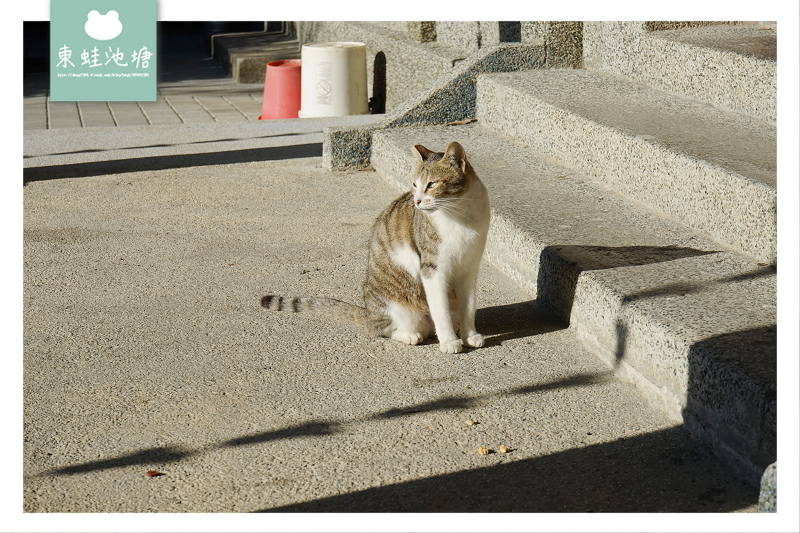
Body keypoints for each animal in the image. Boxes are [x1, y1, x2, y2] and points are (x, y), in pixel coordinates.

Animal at [262, 141, 488, 354]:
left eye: (431, 184)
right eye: (414, 184)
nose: (416, 201)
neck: (460, 212)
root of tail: (368, 313)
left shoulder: (469, 267)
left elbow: (469, 306)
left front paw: (470, 336)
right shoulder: (433, 269)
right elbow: (440, 309)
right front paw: (449, 341)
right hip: (397, 308)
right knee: (381, 329)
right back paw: (410, 335)